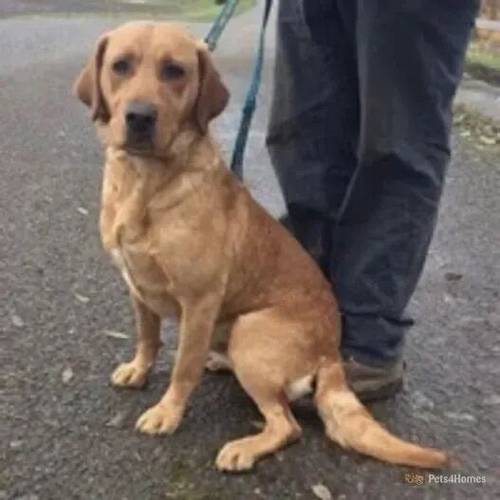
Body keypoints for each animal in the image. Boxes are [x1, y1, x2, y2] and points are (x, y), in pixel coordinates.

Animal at [74, 20, 450, 472]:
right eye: (121, 66)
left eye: (175, 71)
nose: (140, 117)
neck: (145, 183)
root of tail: (331, 352)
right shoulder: (138, 289)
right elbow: (148, 338)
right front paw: (139, 370)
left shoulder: (199, 301)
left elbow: (183, 367)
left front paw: (169, 411)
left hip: (248, 333)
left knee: (287, 425)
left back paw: (244, 447)